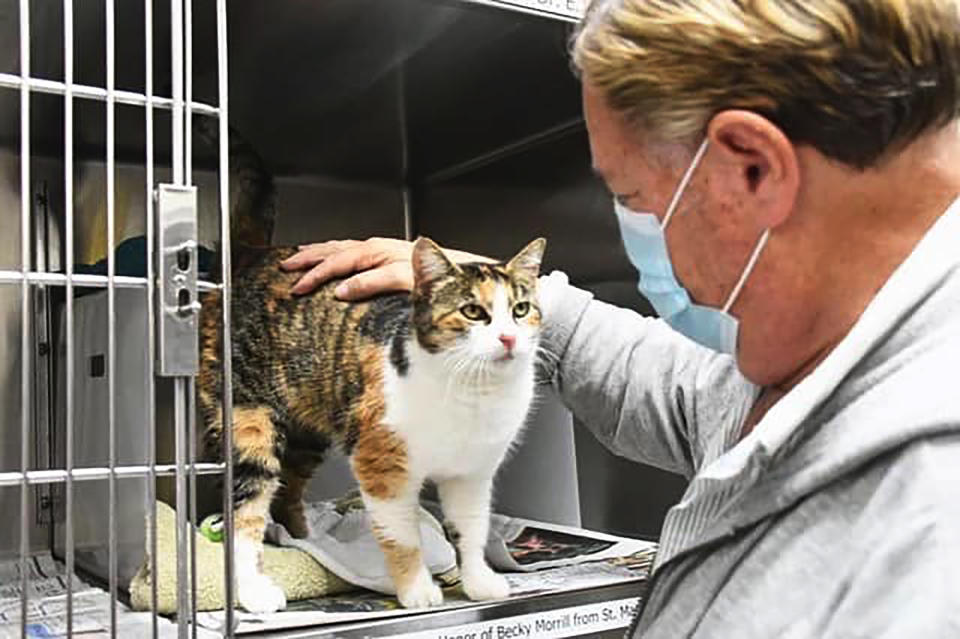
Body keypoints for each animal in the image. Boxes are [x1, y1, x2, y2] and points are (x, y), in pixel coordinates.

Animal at [199, 238, 544, 612]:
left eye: (521, 309)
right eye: (473, 312)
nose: (508, 338)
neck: (474, 391)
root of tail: (249, 256)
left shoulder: (472, 474)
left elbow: (471, 528)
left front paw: (479, 581)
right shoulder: (382, 462)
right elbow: (402, 535)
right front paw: (416, 589)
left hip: (308, 430)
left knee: (287, 489)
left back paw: (305, 536)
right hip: (247, 418)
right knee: (245, 509)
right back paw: (254, 590)